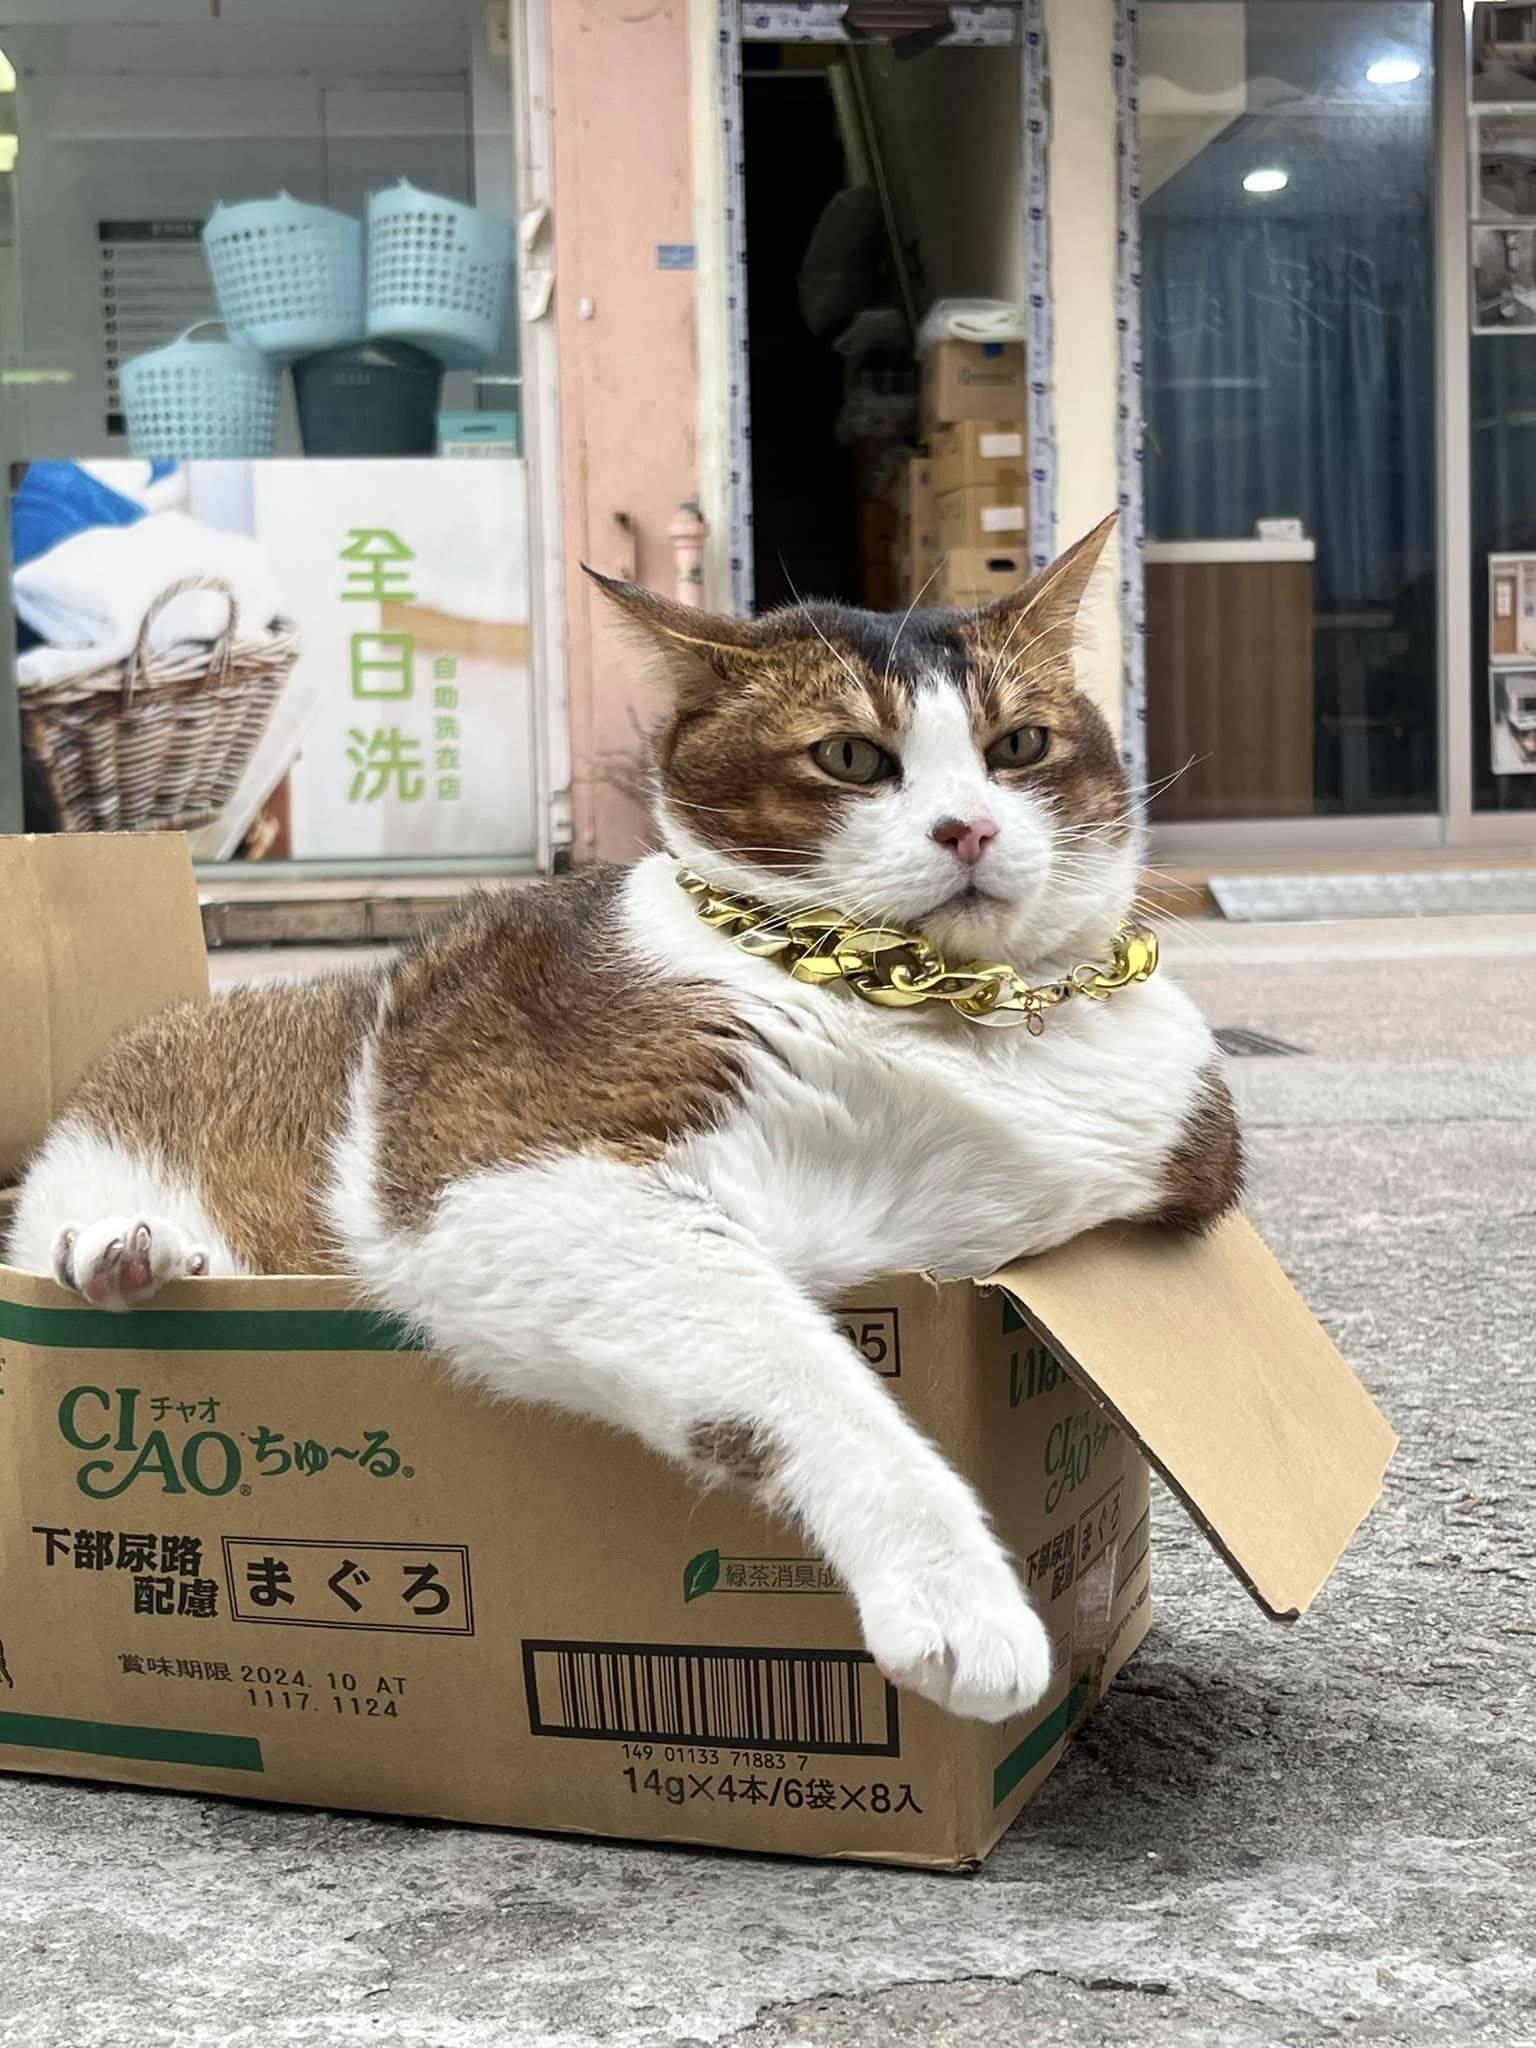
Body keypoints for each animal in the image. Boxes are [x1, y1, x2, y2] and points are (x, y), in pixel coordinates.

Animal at [6, 515, 1240, 1726]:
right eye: (851, 756)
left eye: (1019, 746)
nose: (970, 829)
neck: (939, 1007)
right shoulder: (508, 1173)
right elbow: (795, 1359)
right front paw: (957, 1595)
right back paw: (117, 1249)